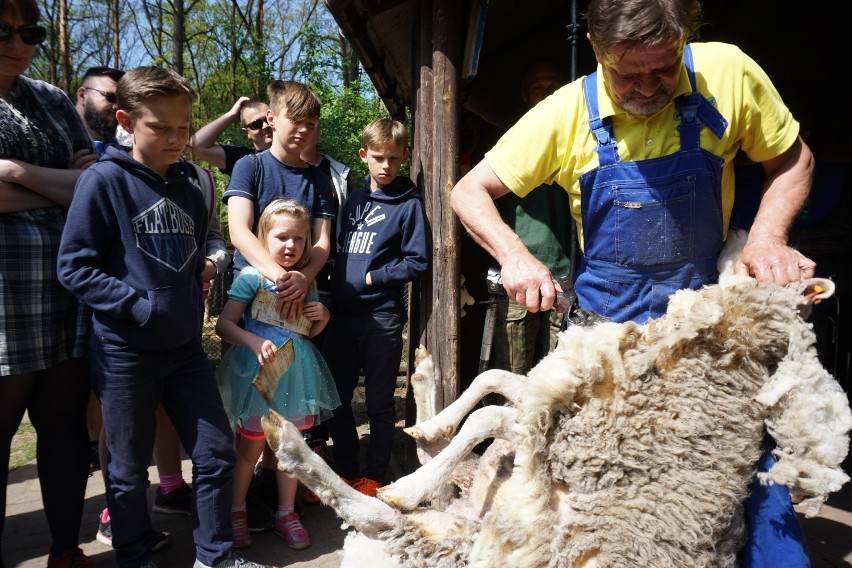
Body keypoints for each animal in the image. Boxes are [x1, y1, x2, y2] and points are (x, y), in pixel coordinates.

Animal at [260, 272, 852, 564]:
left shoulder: (574, 438)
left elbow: (492, 414)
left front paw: (414, 475)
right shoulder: (561, 408)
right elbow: (492, 380)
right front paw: (436, 424)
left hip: (494, 531)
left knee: (382, 516)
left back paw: (299, 446)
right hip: (477, 519)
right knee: (428, 500)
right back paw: (424, 391)